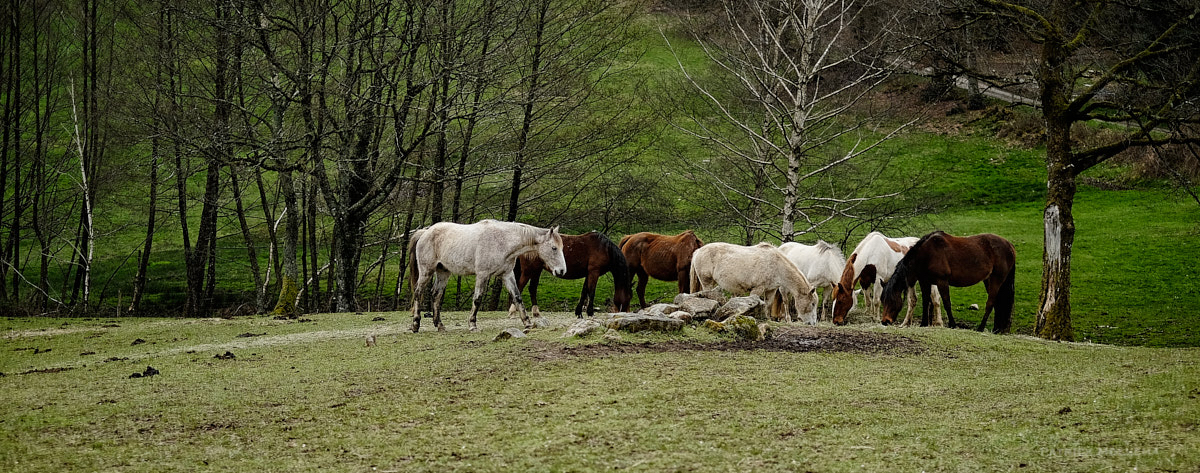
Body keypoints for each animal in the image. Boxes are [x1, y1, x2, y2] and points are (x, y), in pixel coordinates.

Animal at [408, 218, 566, 333]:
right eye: (554, 248)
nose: (561, 271)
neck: (502, 241)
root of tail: (425, 232)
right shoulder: (482, 275)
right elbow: (477, 299)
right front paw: (472, 325)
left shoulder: (507, 275)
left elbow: (517, 297)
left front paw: (527, 323)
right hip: (426, 272)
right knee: (418, 293)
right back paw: (415, 324)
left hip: (443, 272)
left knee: (436, 295)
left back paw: (439, 325)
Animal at [508, 231, 638, 316]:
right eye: (628, 297)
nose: (626, 312)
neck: (605, 249)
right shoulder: (594, 272)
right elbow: (591, 292)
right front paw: (590, 312)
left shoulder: (588, 274)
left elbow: (584, 292)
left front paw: (579, 312)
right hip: (529, 270)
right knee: (519, 287)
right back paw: (513, 311)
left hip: (536, 270)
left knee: (532, 288)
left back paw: (536, 312)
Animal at [691, 242, 820, 324]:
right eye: (813, 304)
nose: (813, 323)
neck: (776, 265)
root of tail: (698, 251)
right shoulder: (757, 289)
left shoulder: (771, 290)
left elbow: (768, 305)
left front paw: (767, 319)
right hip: (707, 282)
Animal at [878, 230, 1017, 333]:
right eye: (882, 300)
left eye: (892, 300)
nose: (885, 321)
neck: (925, 254)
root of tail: (1010, 246)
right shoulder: (925, 281)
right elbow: (926, 302)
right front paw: (924, 323)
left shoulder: (942, 281)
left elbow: (946, 303)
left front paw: (953, 324)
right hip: (989, 280)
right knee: (997, 303)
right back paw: (996, 329)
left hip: (996, 279)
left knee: (990, 303)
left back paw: (981, 328)